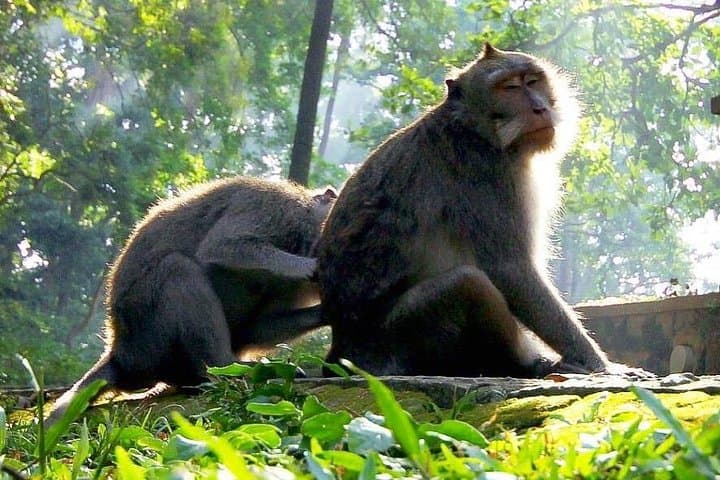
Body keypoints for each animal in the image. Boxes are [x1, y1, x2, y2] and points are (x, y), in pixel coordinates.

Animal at [48, 176, 336, 422]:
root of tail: (121, 354)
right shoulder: (276, 206)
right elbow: (224, 246)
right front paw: (308, 266)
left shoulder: (294, 290)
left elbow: (253, 328)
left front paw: (326, 312)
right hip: (149, 338)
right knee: (178, 269)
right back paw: (226, 369)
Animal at [316, 43, 652, 378]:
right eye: (509, 88)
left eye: (533, 81)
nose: (540, 108)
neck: (477, 131)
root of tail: (340, 353)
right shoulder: (487, 174)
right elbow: (510, 269)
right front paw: (600, 364)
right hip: (399, 339)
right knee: (467, 283)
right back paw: (527, 365)